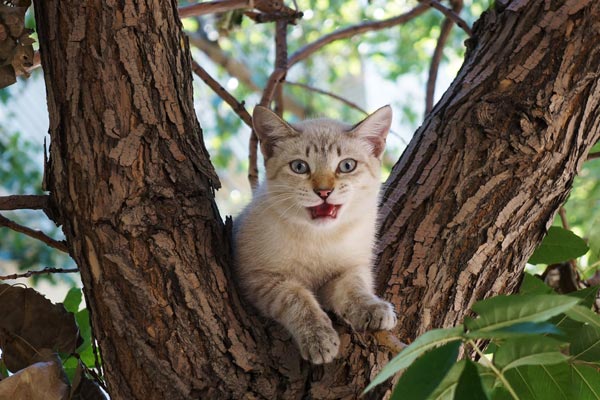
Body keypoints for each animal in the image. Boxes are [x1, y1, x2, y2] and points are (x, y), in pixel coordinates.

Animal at [232, 104, 396, 364]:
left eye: (347, 166)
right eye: (299, 167)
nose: (324, 192)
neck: (321, 238)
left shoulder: (350, 268)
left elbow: (355, 287)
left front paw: (372, 308)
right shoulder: (258, 277)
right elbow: (297, 298)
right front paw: (318, 337)